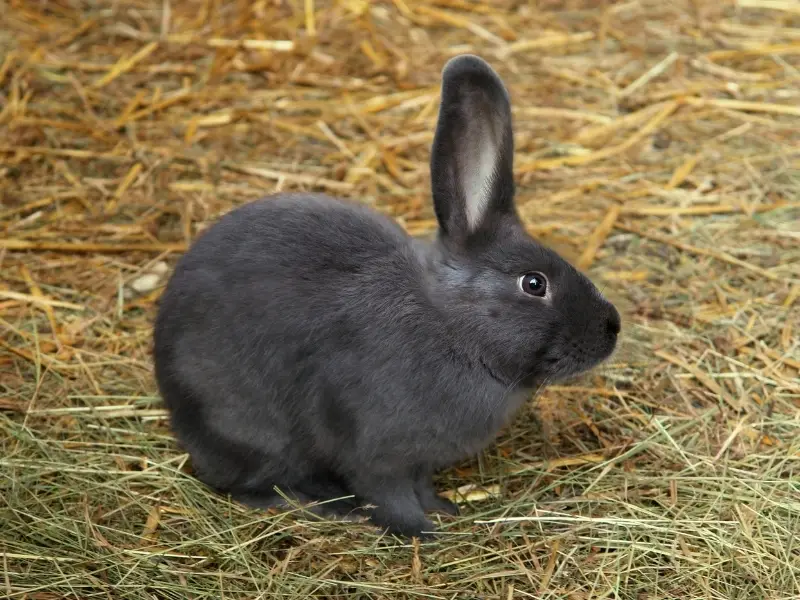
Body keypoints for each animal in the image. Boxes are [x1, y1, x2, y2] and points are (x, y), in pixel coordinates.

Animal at [153, 54, 620, 536]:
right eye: (534, 283)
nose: (612, 327)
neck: (451, 329)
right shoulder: (373, 453)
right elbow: (389, 495)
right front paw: (423, 533)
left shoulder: (418, 463)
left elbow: (421, 486)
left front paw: (443, 509)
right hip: (250, 434)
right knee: (249, 486)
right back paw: (322, 505)